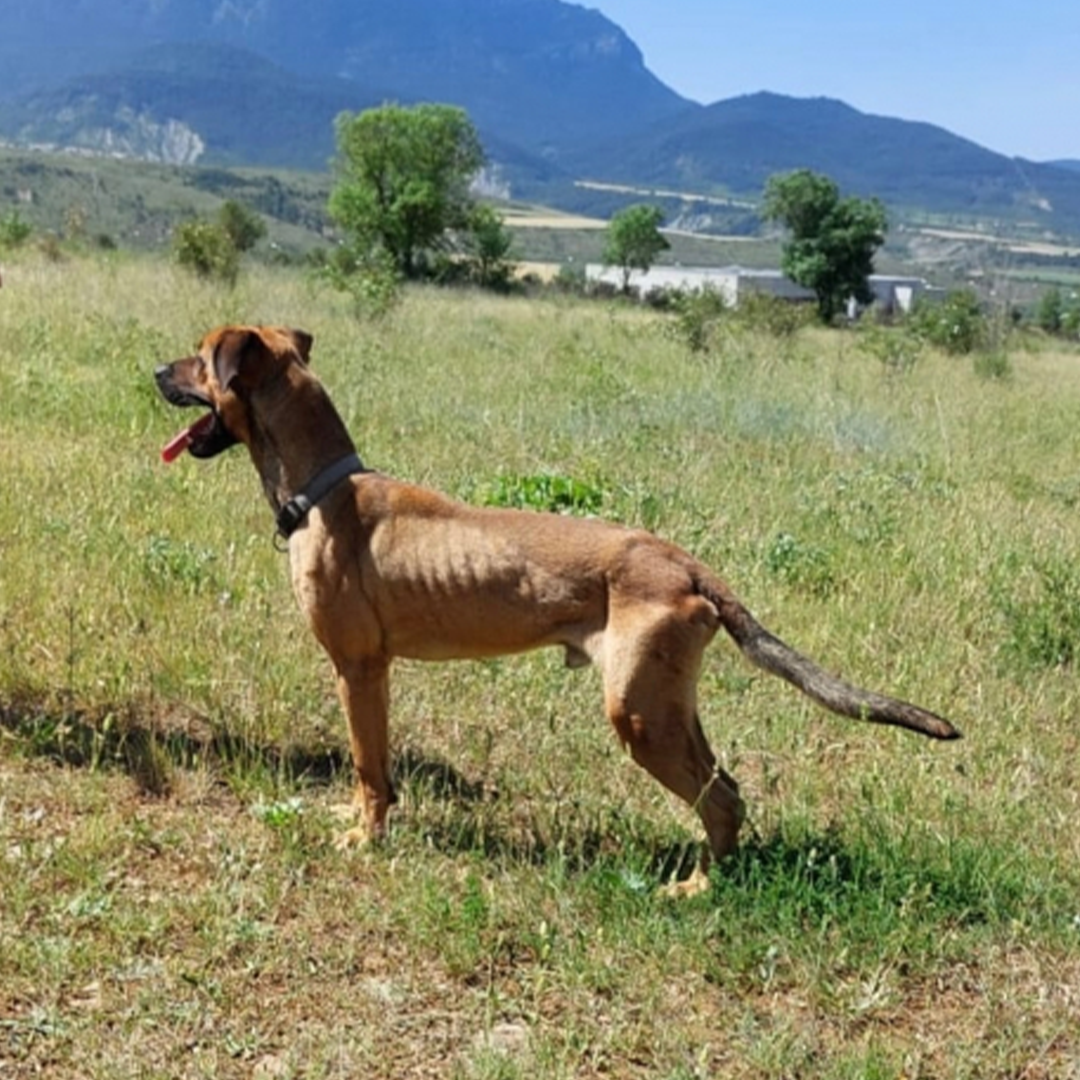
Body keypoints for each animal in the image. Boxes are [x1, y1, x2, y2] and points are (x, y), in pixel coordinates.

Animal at [154, 321, 963, 868]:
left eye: (201, 354)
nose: (156, 370)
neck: (320, 487)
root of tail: (688, 564)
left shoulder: (358, 668)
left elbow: (367, 768)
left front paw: (364, 838)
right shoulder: (374, 673)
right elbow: (378, 768)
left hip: (636, 712)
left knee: (725, 800)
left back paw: (699, 889)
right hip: (666, 704)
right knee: (726, 788)